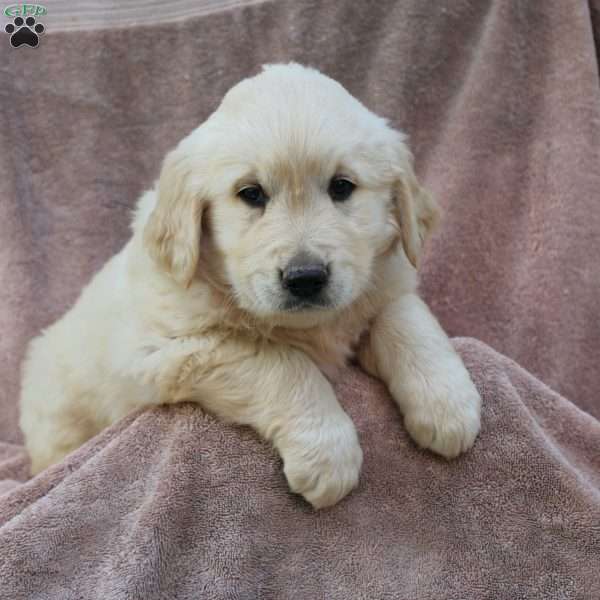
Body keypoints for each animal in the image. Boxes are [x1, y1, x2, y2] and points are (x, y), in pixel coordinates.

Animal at [18, 64, 480, 506]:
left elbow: (407, 319)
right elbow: (279, 361)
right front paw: (326, 453)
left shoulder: (385, 281)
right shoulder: (162, 351)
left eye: (342, 187)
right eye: (251, 193)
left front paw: (447, 403)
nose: (305, 278)